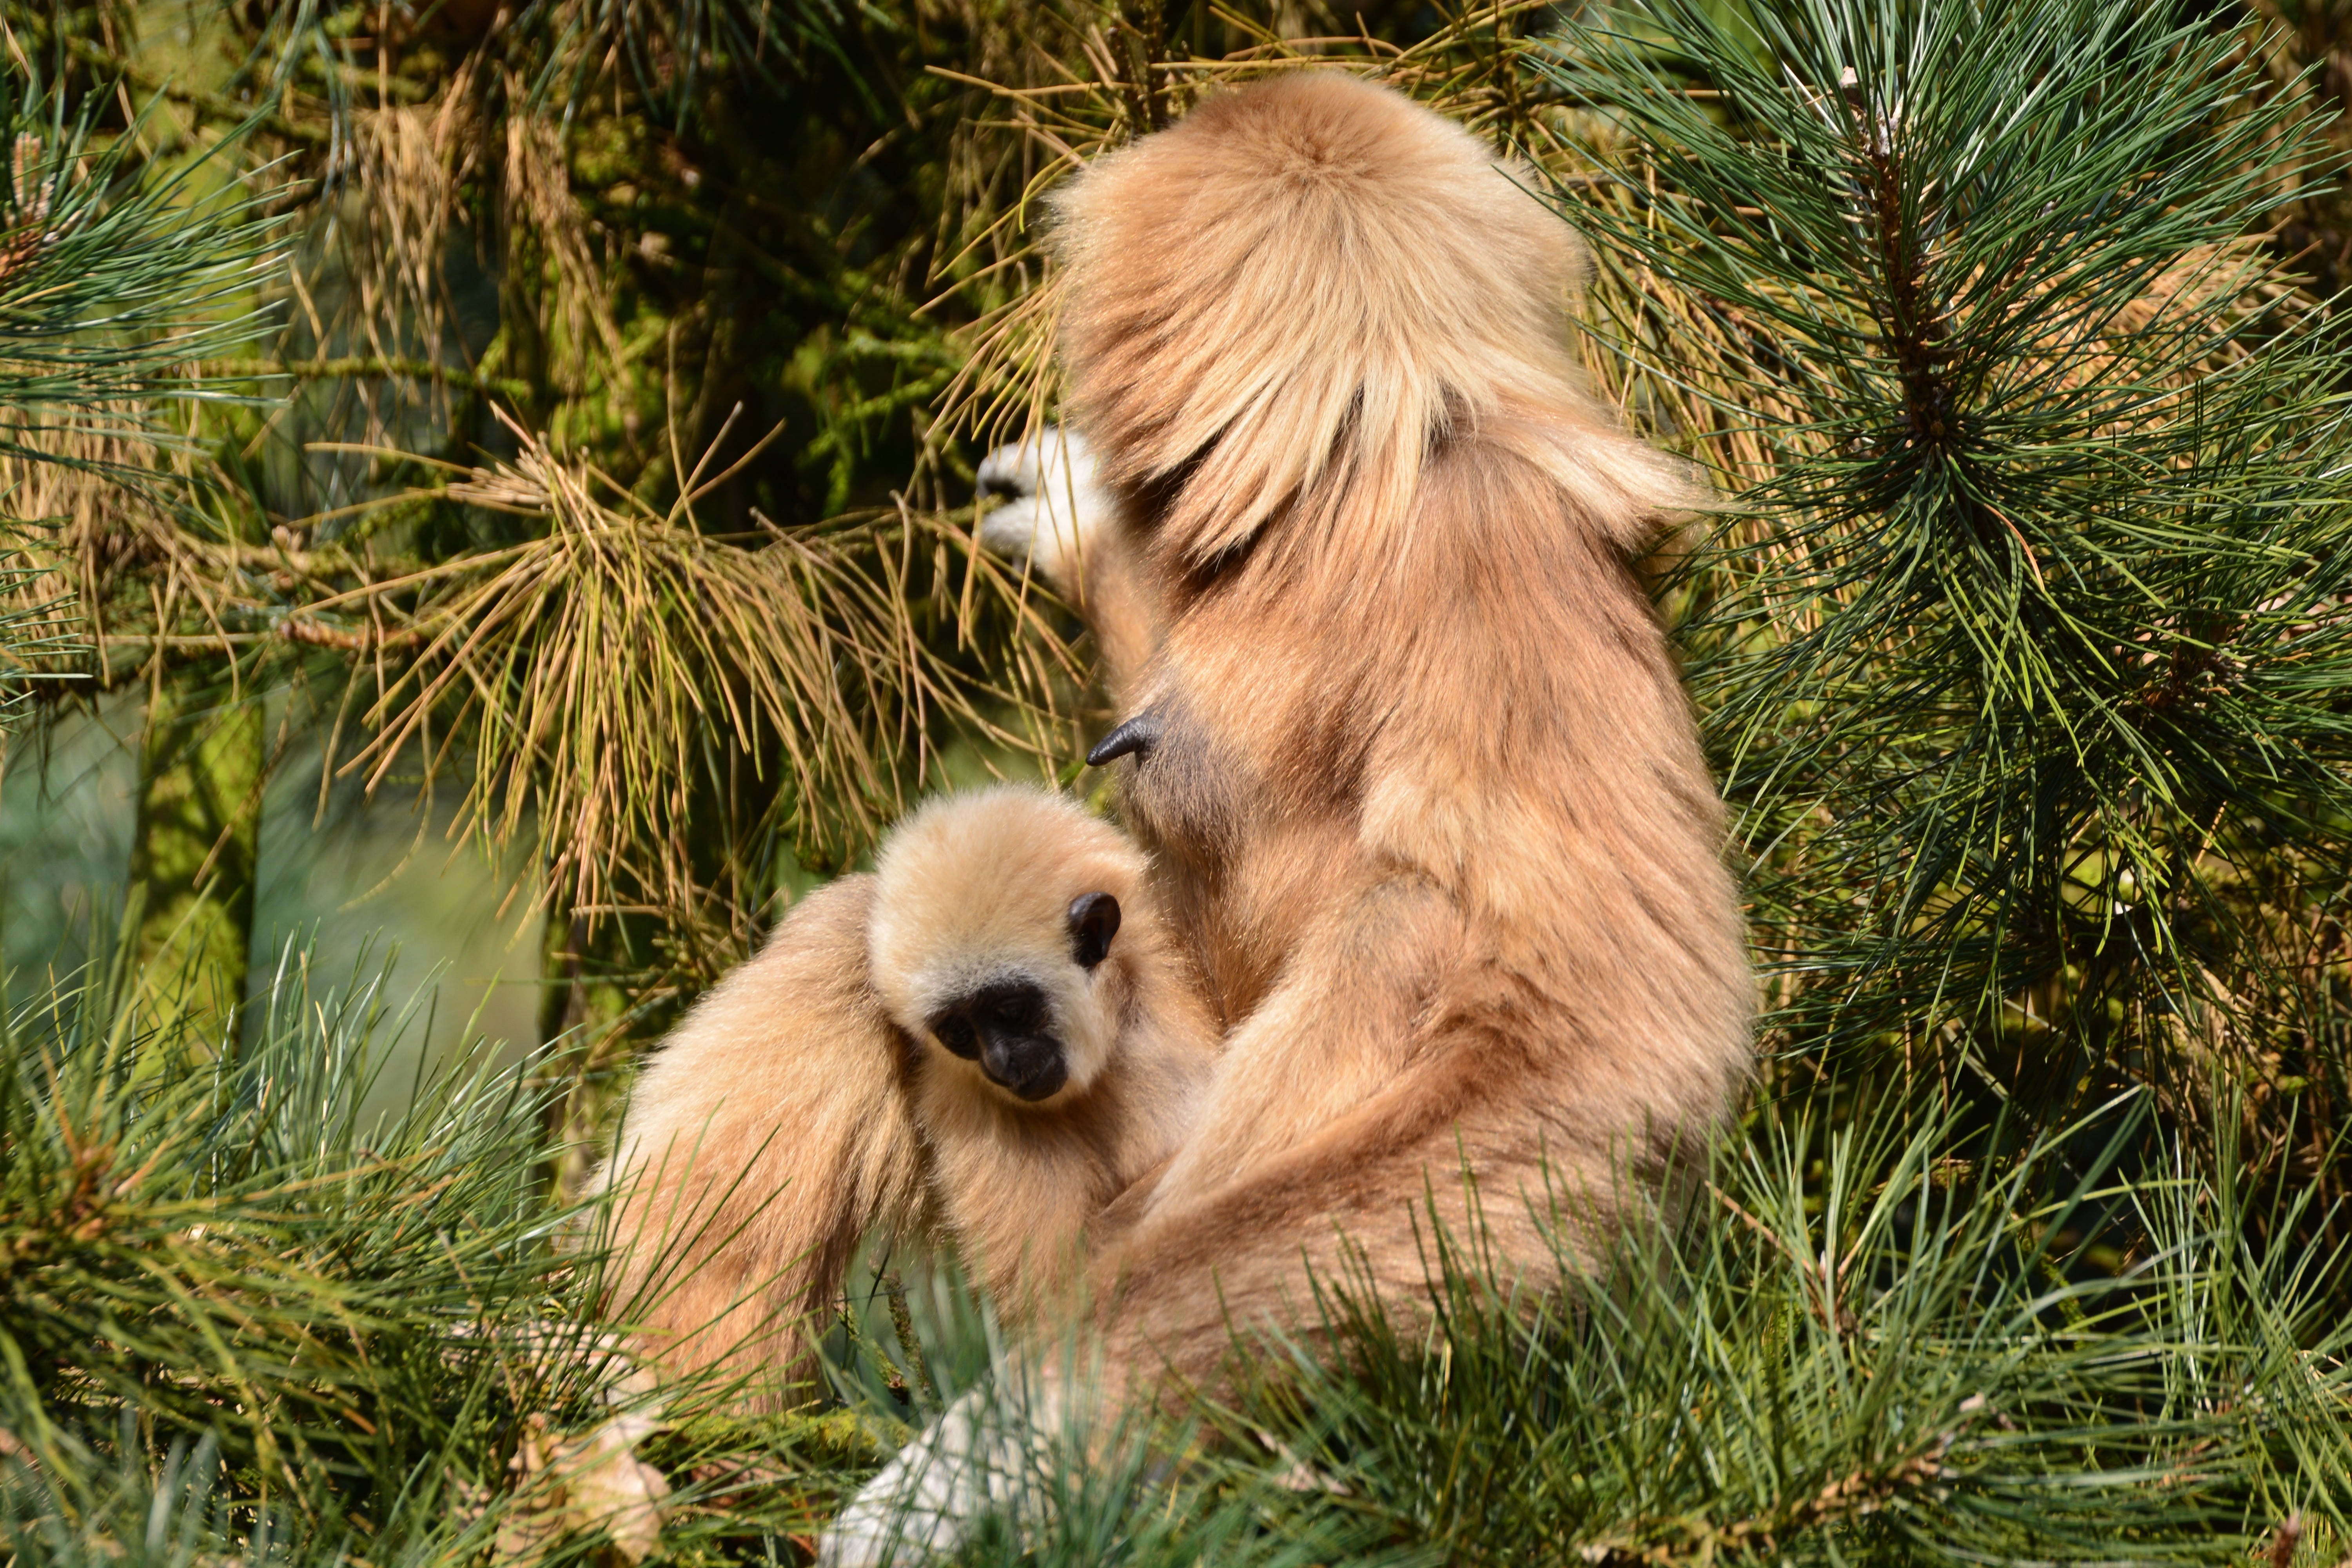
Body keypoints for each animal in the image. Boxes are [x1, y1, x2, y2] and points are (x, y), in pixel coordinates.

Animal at [820, 71, 1755, 1563]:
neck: (1363, 486)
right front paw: (1076, 512)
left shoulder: (1485, 541)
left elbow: (1601, 1046)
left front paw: (1000, 1442)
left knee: (1400, 932)